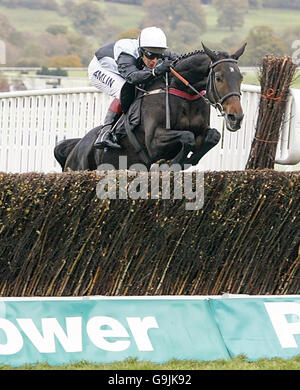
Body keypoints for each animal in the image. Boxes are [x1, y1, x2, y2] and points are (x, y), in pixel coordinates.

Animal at [54, 42, 246, 171]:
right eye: (219, 77)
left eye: (240, 77)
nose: (235, 117)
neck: (183, 92)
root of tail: (77, 146)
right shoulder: (154, 142)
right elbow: (187, 137)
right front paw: (170, 162)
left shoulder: (203, 131)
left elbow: (213, 136)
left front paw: (187, 160)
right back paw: (106, 137)